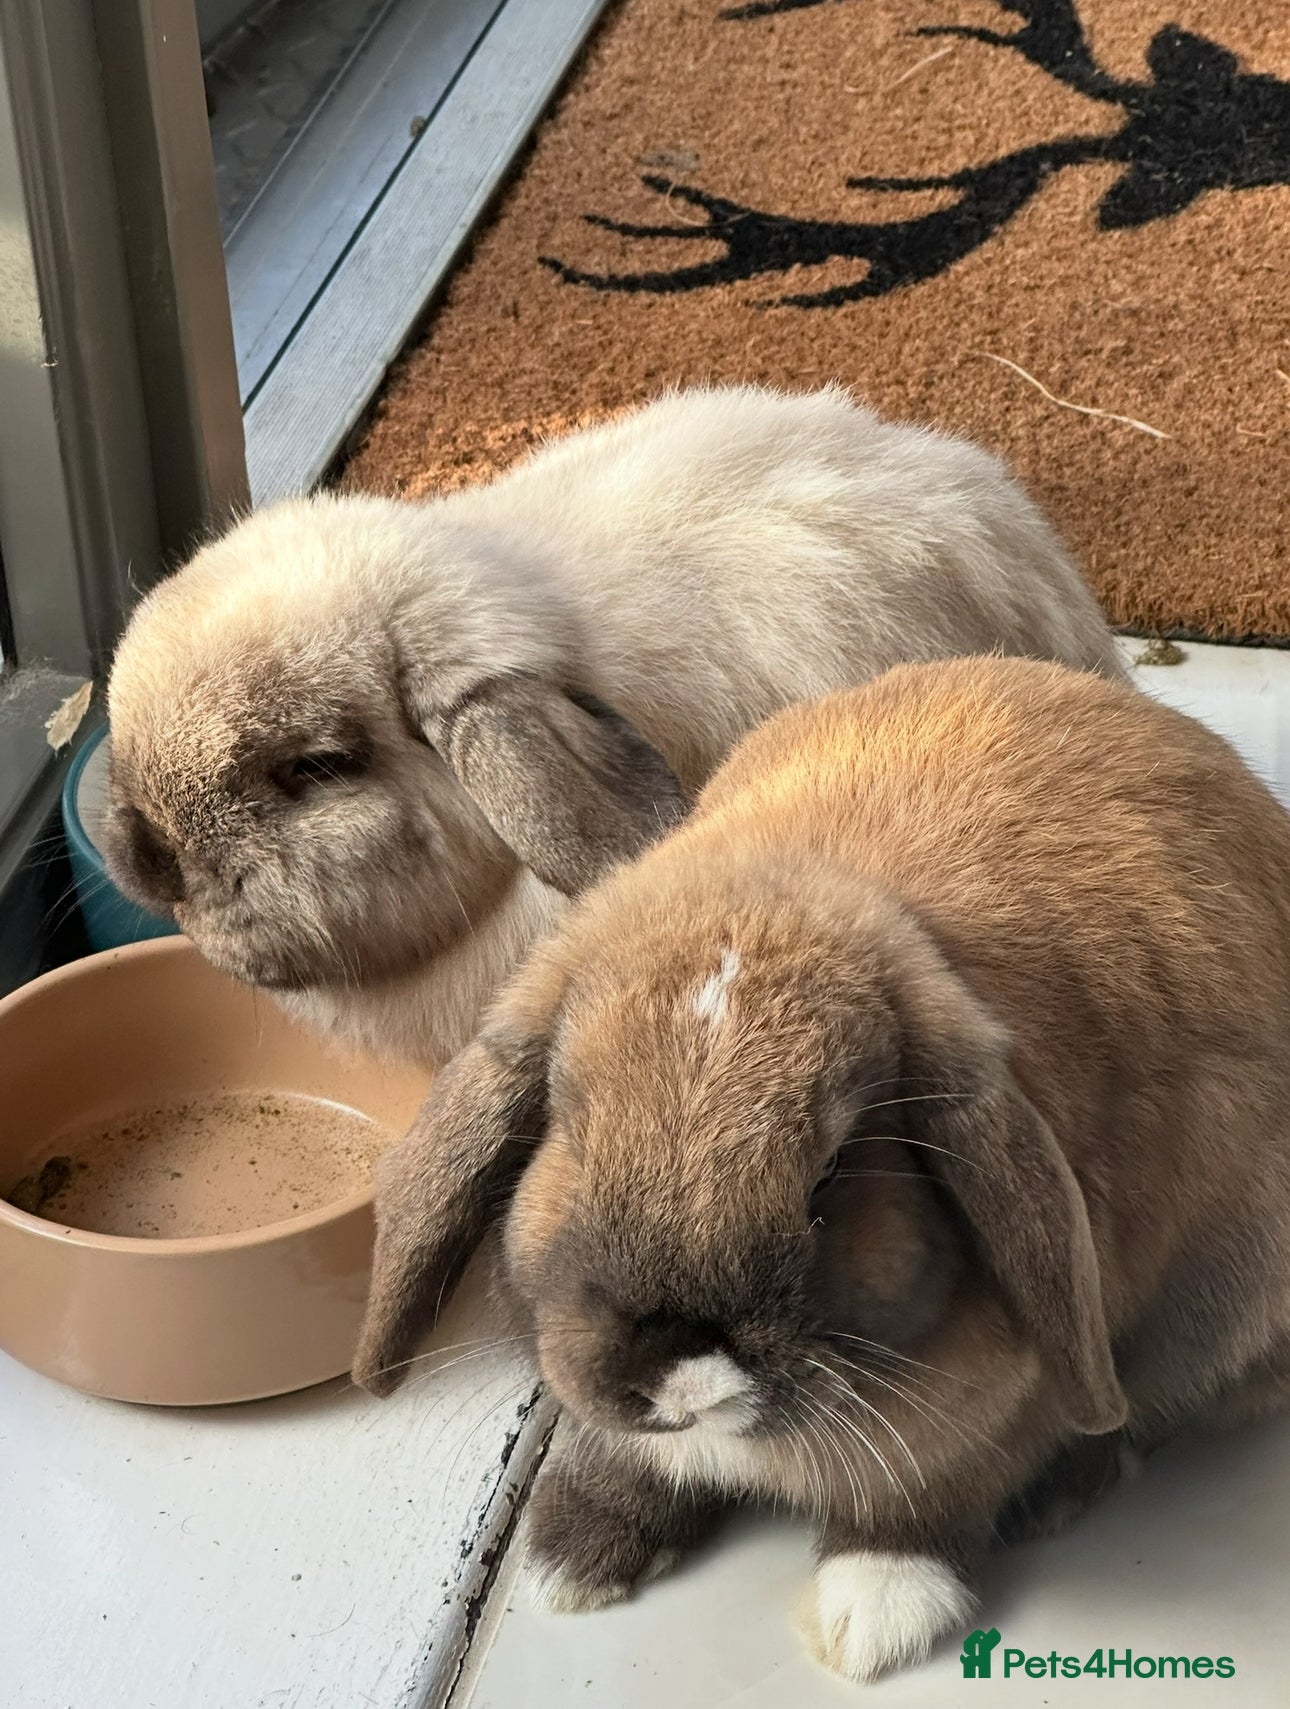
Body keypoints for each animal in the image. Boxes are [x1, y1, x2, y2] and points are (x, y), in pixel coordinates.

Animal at [352, 655, 1290, 1684]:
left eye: (834, 1168)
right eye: (572, 1124)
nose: (680, 1367)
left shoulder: (1004, 1408)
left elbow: (928, 1497)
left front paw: (871, 1614)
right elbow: (627, 1457)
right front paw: (572, 1557)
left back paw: (1064, 1491)